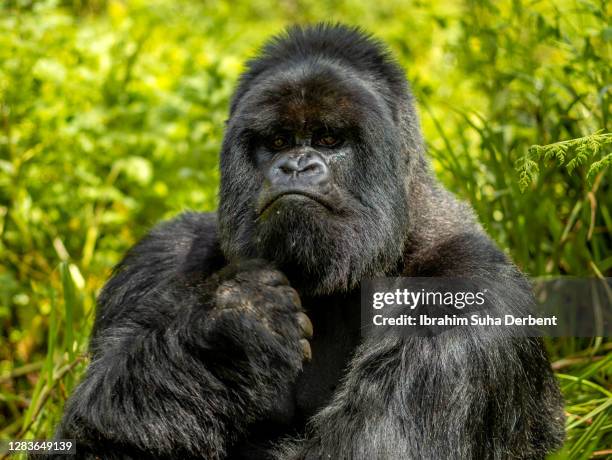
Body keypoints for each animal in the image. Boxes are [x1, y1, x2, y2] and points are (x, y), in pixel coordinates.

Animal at [55, 25, 568, 460]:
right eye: (279, 141)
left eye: (328, 138)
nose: (296, 165)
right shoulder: (159, 257)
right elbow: (91, 439)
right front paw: (227, 328)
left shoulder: (464, 296)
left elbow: (364, 450)